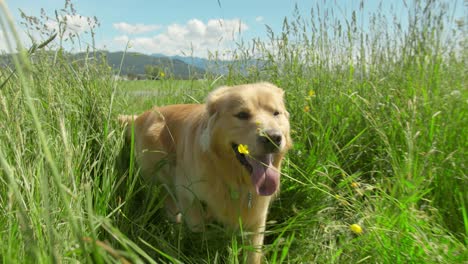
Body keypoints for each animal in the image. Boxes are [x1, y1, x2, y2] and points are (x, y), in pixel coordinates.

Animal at [119, 82, 290, 262]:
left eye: (276, 113)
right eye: (242, 114)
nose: (273, 137)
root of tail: (142, 115)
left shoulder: (258, 215)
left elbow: (254, 252)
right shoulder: (186, 192)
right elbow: (198, 230)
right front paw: (202, 249)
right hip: (158, 175)